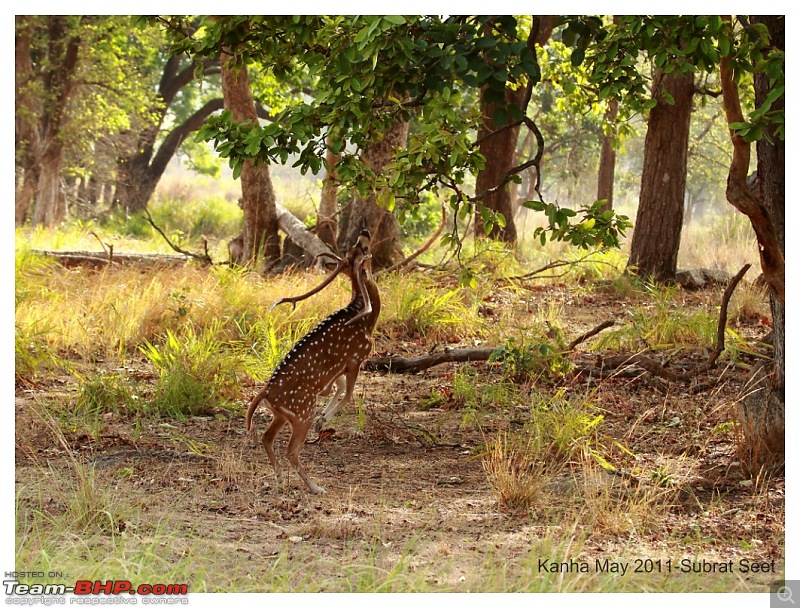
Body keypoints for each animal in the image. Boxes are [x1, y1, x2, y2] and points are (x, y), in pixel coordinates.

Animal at [245, 230, 380, 492]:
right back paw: (315, 486)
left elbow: (339, 389)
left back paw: (279, 479)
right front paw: (322, 421)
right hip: (302, 411)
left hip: (282, 415)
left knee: (267, 438)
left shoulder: (336, 371)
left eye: (353, 249)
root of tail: (266, 393)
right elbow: (349, 394)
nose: (365, 232)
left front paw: (323, 419)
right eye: (362, 250)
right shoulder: (357, 357)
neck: (367, 319)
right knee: (291, 450)